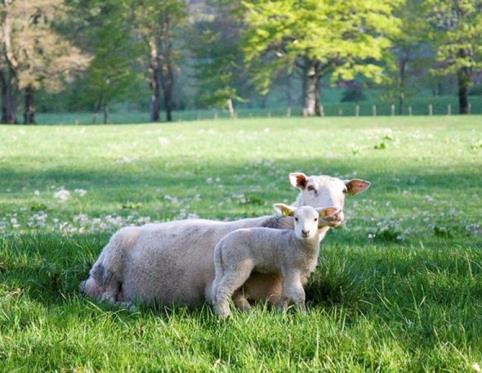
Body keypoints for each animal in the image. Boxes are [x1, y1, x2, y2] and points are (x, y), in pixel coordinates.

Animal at [81, 171, 370, 306]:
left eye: (344, 190)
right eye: (310, 187)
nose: (335, 214)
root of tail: (89, 280)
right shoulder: (215, 288)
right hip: (109, 272)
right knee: (108, 301)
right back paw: (132, 306)